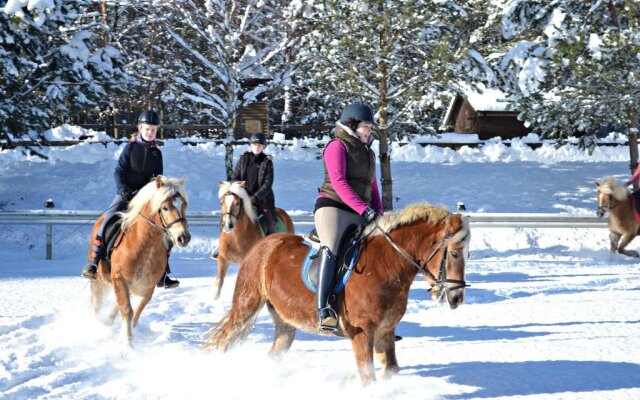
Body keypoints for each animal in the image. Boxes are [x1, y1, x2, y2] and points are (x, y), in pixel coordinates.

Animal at [89, 175, 190, 344]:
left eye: (184, 205)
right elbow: (127, 311)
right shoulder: (120, 280)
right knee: (96, 305)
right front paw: (128, 344)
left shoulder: (147, 287)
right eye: (165, 208)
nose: (184, 237)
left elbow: (135, 314)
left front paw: (126, 337)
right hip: (98, 280)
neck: (144, 246)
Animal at [205, 203, 470, 384]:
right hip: (247, 305)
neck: (386, 264)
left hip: (285, 322)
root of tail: (262, 244)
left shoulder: (385, 330)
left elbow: (391, 368)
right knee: (224, 338)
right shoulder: (362, 332)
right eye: (454, 253)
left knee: (274, 353)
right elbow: (368, 376)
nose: (457, 298)